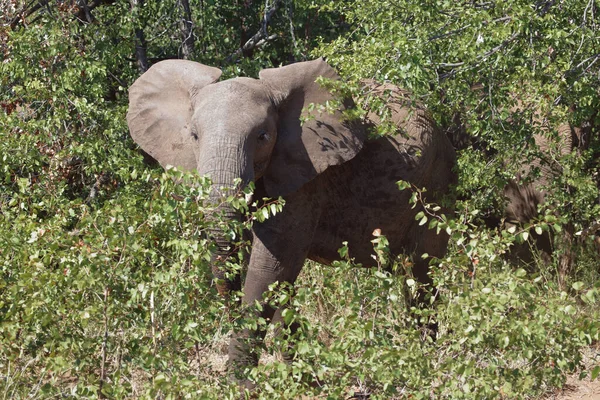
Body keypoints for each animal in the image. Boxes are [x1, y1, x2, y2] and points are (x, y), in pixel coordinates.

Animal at [125, 57, 454, 386]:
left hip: (435, 186)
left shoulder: (306, 175)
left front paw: (241, 384)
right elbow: (276, 271)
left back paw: (423, 361)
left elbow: (270, 265)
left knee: (420, 272)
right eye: (193, 136)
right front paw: (299, 375)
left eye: (262, 137)